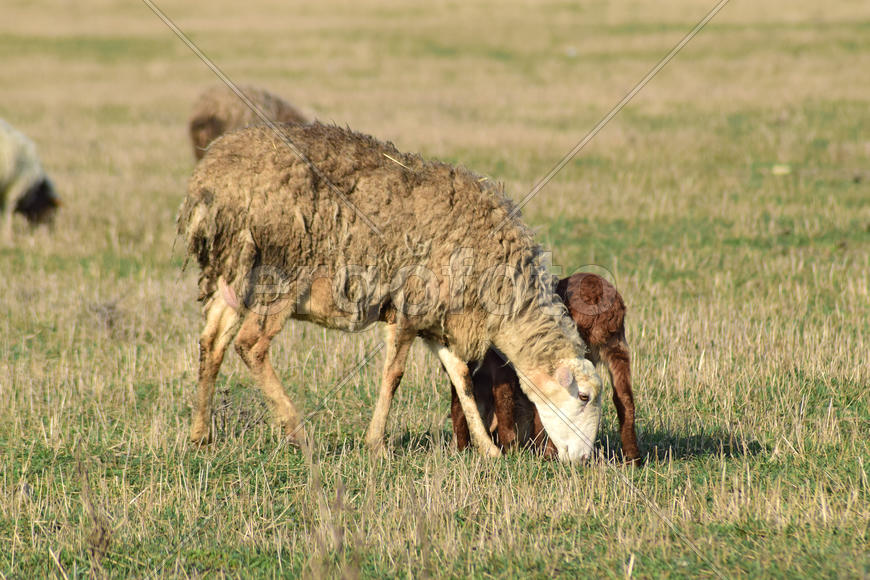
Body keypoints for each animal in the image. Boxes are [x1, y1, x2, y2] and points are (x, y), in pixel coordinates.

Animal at [177, 121, 604, 461]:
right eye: (584, 397)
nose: (583, 460)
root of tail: (212, 179)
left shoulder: (439, 319)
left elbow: (462, 380)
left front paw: (489, 450)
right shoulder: (410, 307)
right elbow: (394, 375)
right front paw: (376, 444)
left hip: (233, 273)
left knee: (211, 343)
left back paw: (201, 434)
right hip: (282, 272)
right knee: (250, 345)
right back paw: (298, 433)